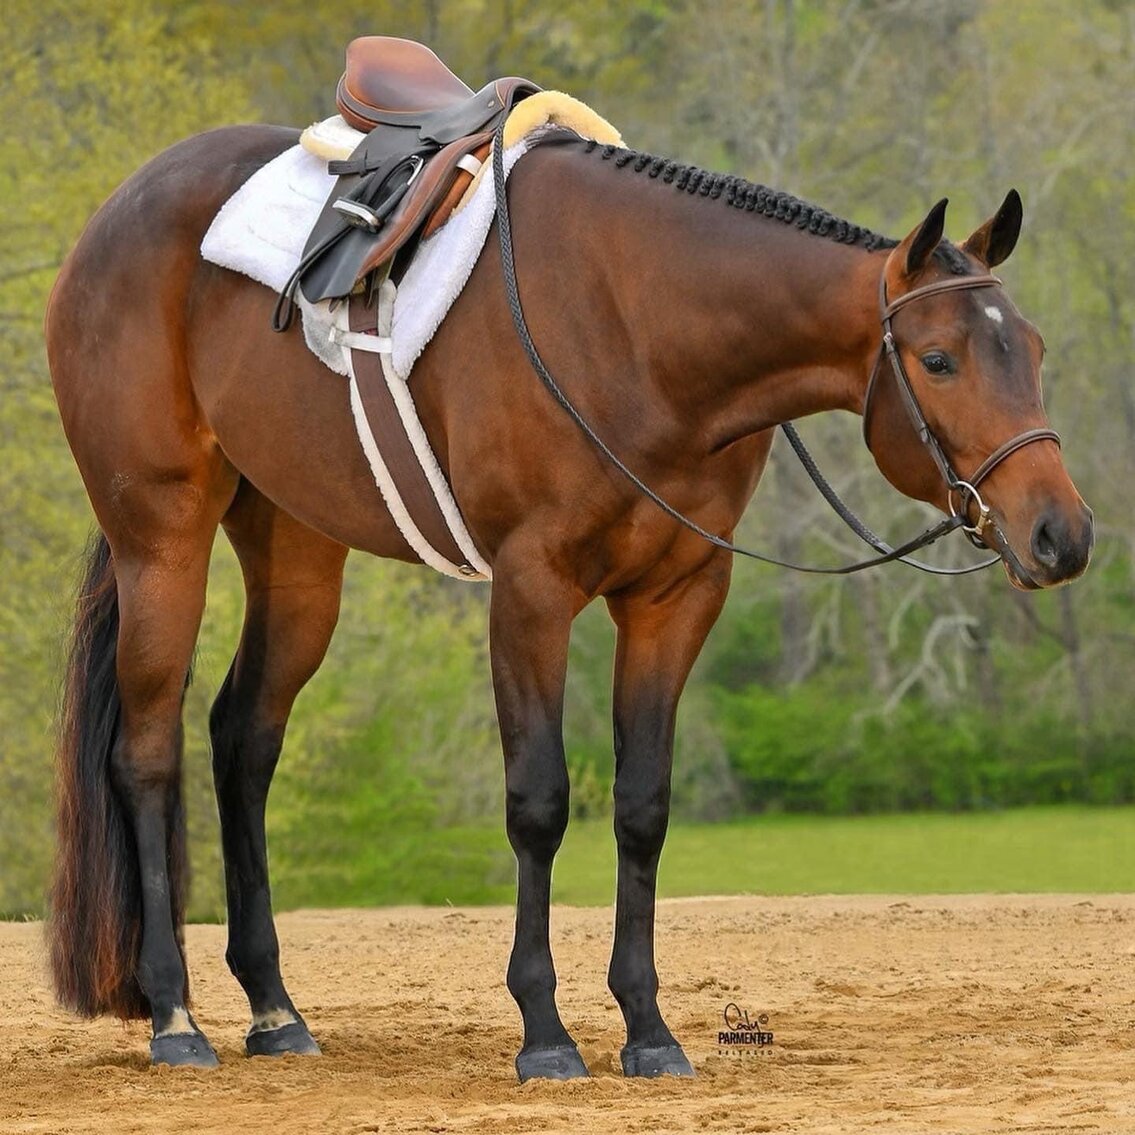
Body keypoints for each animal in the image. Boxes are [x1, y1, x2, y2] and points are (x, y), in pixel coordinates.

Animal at [45, 121, 1093, 1080]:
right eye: (939, 359)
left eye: (1034, 350)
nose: (1062, 533)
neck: (642, 329)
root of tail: (117, 214)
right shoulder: (531, 591)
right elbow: (539, 801)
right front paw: (544, 1031)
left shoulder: (674, 600)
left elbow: (642, 806)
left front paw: (647, 1027)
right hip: (162, 540)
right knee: (145, 754)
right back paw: (175, 1015)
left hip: (298, 555)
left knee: (242, 743)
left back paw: (273, 1008)